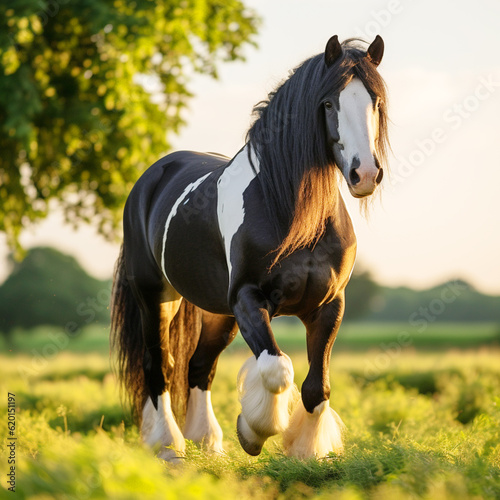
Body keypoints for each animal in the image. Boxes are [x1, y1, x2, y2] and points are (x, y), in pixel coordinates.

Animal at [111, 33, 388, 458]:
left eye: (375, 102)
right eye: (328, 103)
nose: (366, 173)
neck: (294, 212)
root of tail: (152, 176)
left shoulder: (328, 305)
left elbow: (317, 388)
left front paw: (305, 450)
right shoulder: (248, 297)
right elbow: (277, 368)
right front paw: (255, 432)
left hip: (217, 313)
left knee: (199, 365)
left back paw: (207, 440)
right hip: (156, 295)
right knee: (160, 365)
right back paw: (169, 444)